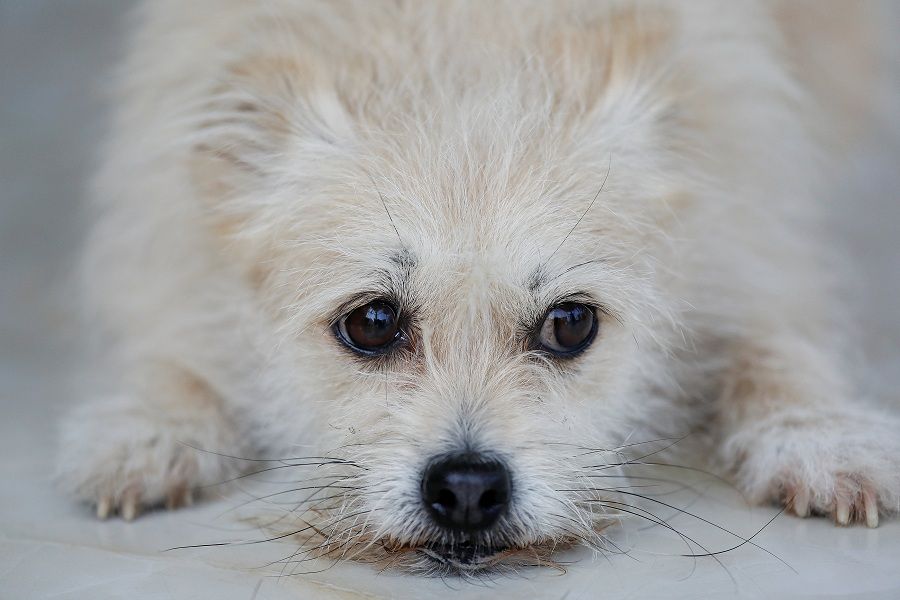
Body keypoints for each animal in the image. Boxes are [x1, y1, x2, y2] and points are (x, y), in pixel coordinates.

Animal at [58, 0, 900, 572]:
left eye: (570, 324)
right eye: (371, 322)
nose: (466, 487)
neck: (453, 60)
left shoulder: (756, 251)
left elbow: (775, 347)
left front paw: (818, 434)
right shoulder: (163, 250)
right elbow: (177, 349)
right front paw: (154, 428)